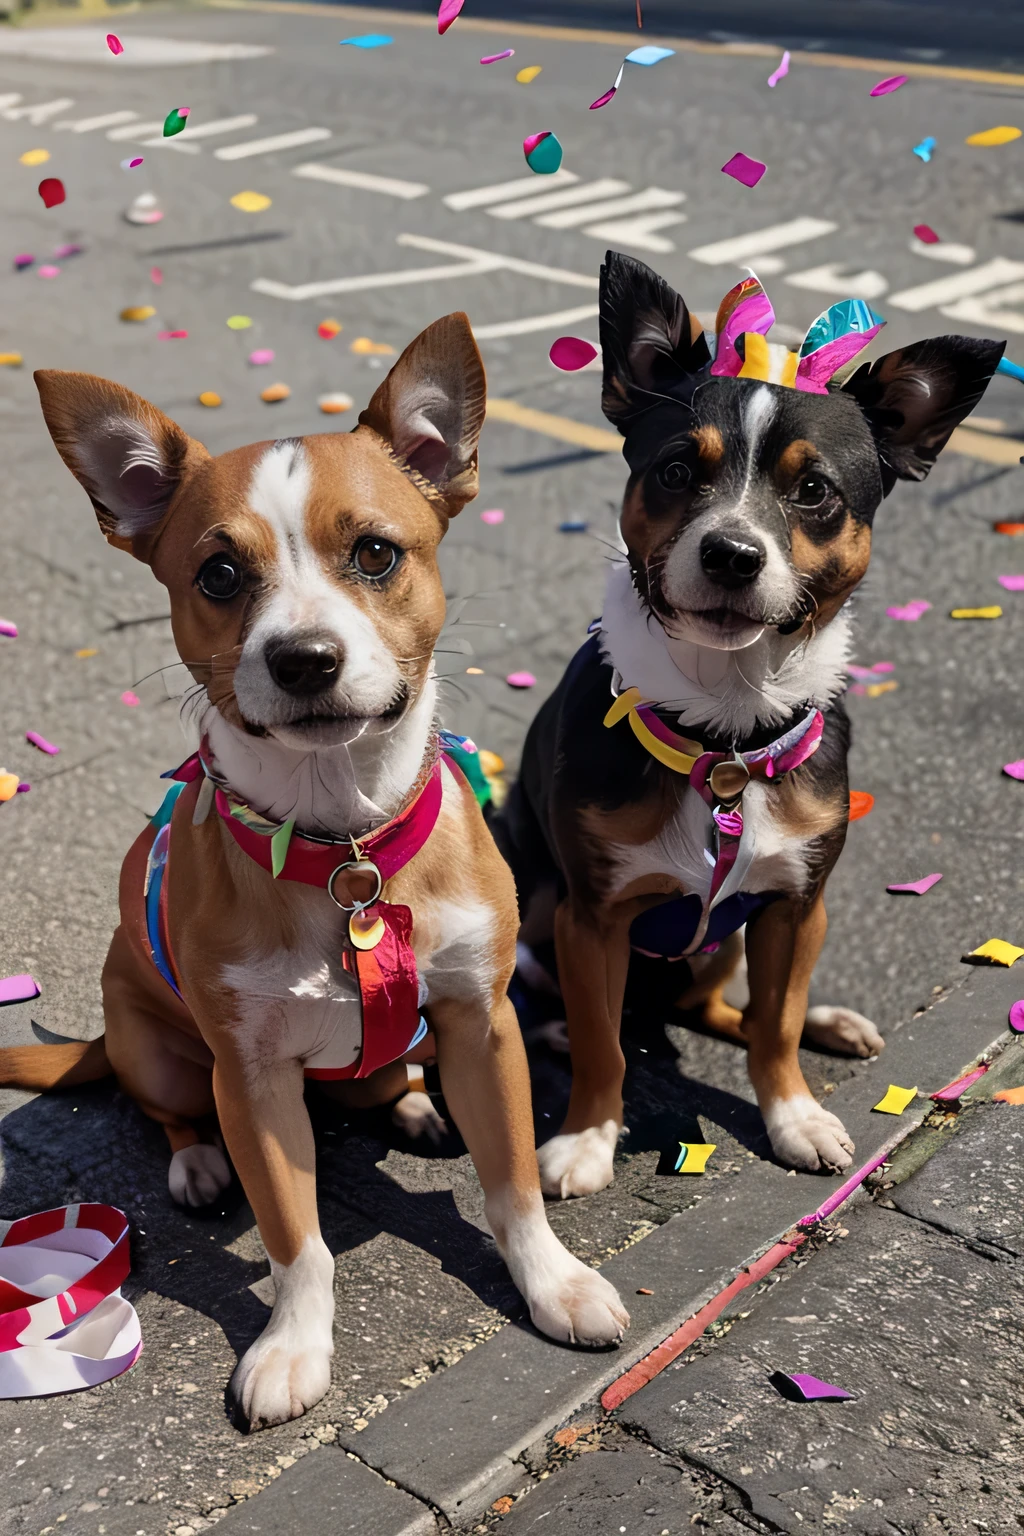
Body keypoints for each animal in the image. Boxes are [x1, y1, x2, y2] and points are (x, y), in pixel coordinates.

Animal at [0, 317, 629, 1431]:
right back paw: (197, 1161)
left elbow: (512, 1184)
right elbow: (297, 1241)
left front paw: (551, 1282)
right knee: (168, 1107)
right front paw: (293, 1345)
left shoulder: (485, 1023)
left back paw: (412, 1098)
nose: (303, 658)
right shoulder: (251, 1080)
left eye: (375, 553)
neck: (345, 845)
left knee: (391, 1076)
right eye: (217, 575)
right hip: (159, 1051)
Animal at [509, 251, 1007, 1191]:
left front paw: (793, 1116)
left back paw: (828, 1024)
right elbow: (604, 1047)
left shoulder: (795, 904)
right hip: (538, 905)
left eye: (814, 490)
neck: (724, 736)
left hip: (734, 941)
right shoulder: (592, 918)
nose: (733, 554)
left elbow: (771, 1027)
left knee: (728, 1013)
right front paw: (588, 1136)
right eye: (676, 471)